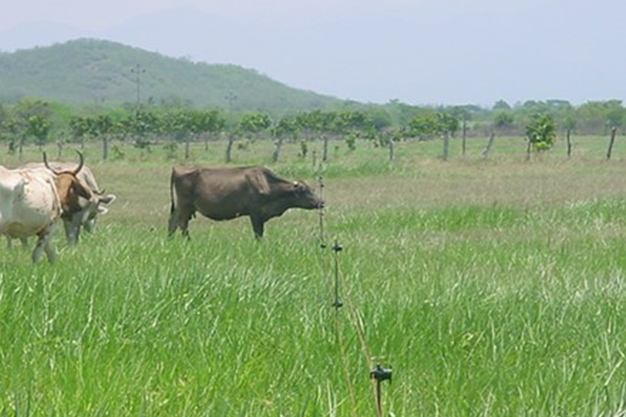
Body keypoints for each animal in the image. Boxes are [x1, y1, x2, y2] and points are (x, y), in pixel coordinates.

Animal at [168, 166, 324, 239]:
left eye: (312, 189)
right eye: (306, 191)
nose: (321, 202)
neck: (267, 184)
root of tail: (177, 168)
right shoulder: (255, 214)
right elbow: (258, 234)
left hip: (182, 207)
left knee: (173, 222)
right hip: (185, 206)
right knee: (182, 224)